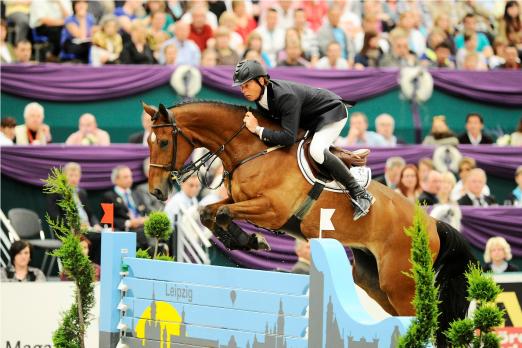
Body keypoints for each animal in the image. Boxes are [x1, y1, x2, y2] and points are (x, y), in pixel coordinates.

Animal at [143, 100, 476, 346]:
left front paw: (251, 241)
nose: (156, 191)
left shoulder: (271, 210)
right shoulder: (239, 200)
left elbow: (222, 213)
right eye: (148, 142)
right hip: (372, 279)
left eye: (163, 142)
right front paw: (247, 241)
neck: (253, 150)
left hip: (400, 284)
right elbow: (208, 213)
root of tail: (431, 224)